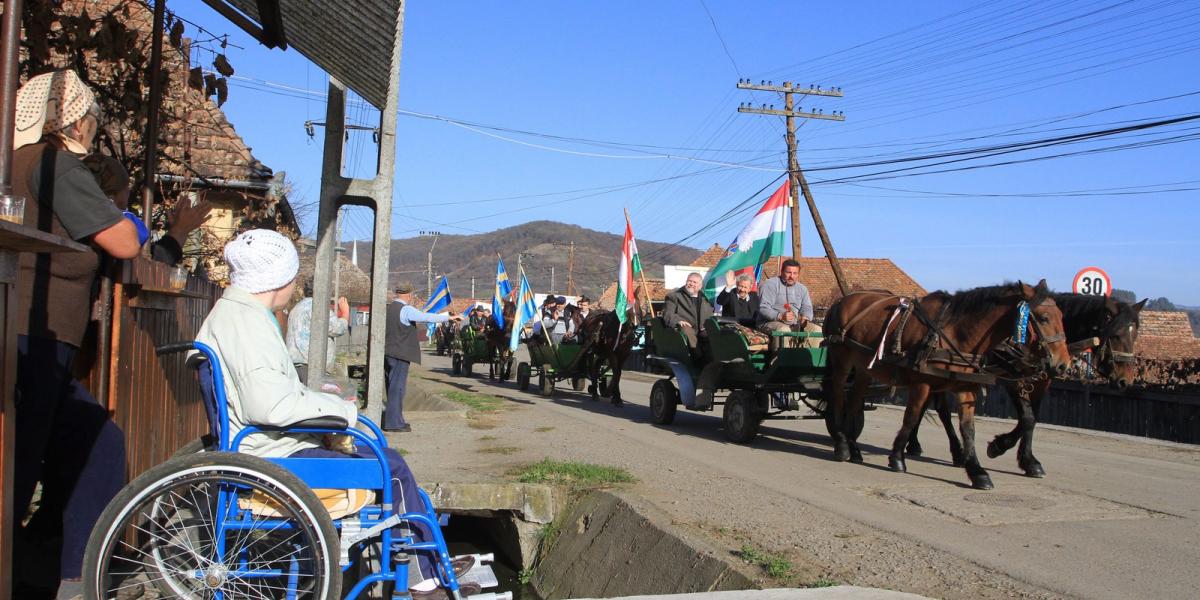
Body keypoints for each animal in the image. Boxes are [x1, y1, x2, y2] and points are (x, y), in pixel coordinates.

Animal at [825, 278, 1070, 489]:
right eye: (1043, 317)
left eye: (1061, 315)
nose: (1063, 365)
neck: (954, 332)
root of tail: (840, 302)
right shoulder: (922, 384)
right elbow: (911, 417)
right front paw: (897, 457)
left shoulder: (965, 388)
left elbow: (968, 429)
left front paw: (977, 471)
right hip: (841, 361)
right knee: (837, 395)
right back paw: (841, 443)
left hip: (864, 368)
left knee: (854, 401)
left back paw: (853, 446)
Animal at [907, 292, 1142, 475]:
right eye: (1116, 334)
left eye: (1135, 334)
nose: (1125, 380)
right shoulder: (1013, 380)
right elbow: (1027, 418)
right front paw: (1000, 446)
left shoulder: (1041, 383)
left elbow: (1032, 419)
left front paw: (1027, 460)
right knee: (939, 409)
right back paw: (937, 448)